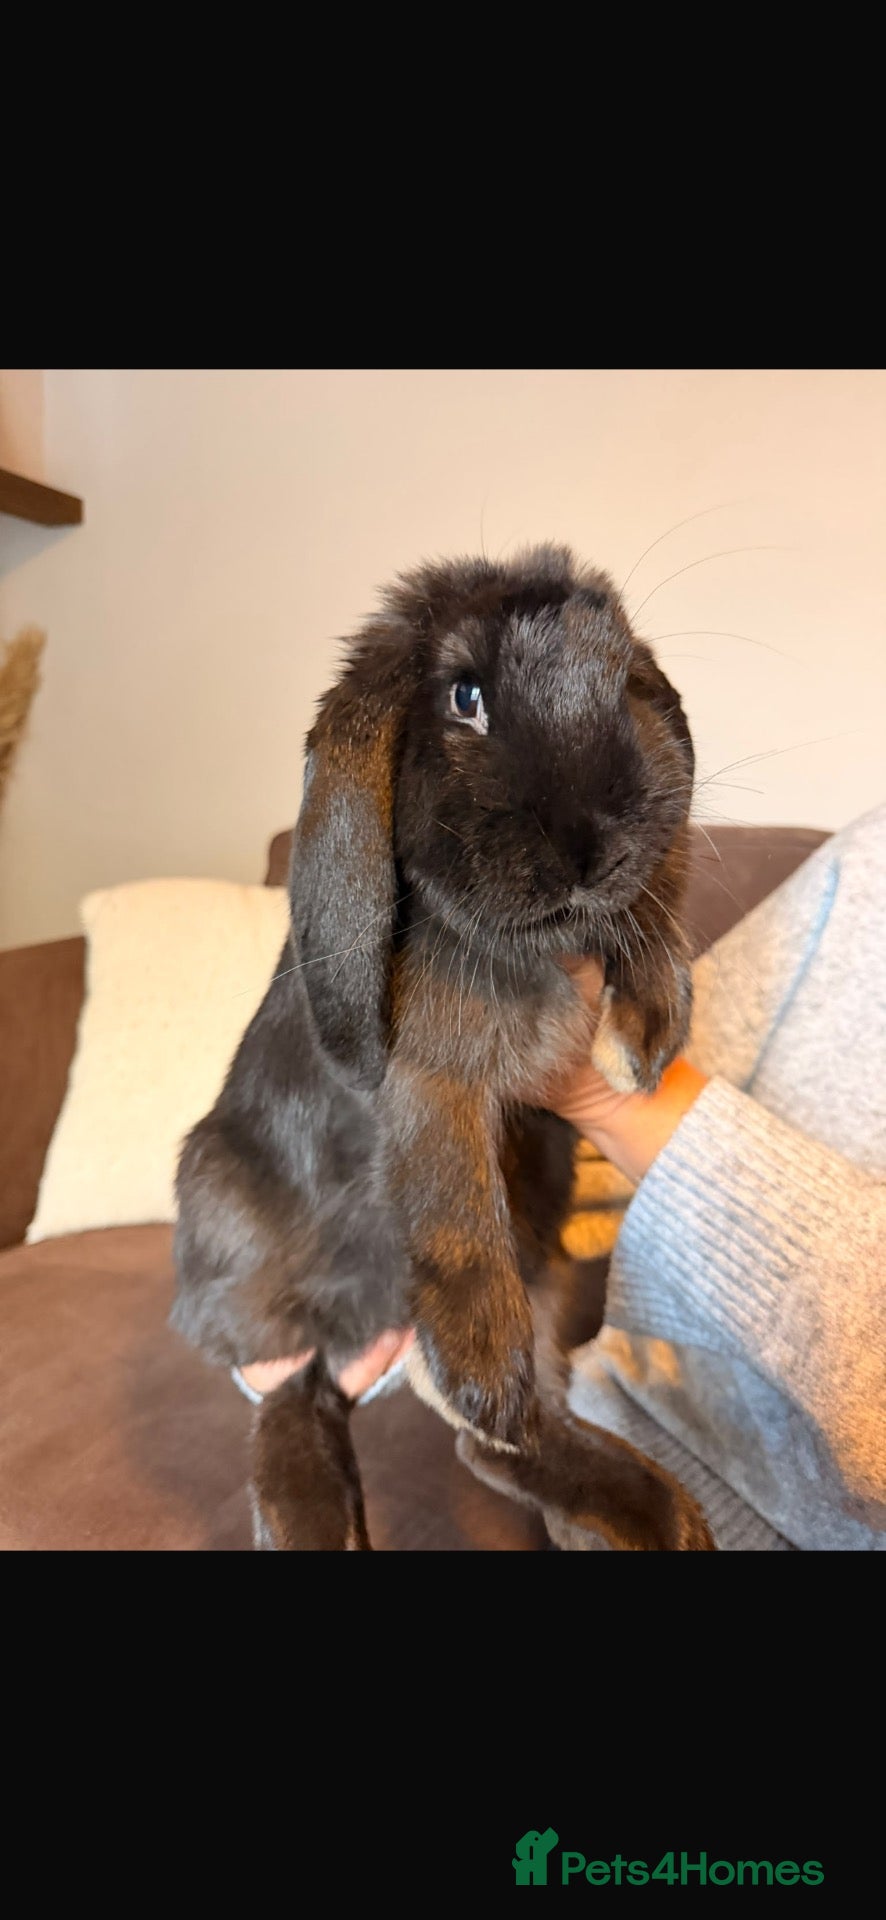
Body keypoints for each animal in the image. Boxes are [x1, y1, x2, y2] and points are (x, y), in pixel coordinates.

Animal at [171, 543, 715, 1551]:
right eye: (465, 696)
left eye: (625, 680)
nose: (591, 846)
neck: (527, 942)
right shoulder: (427, 1088)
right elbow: (454, 1208)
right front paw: (482, 1373)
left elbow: (655, 904)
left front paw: (643, 1042)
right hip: (228, 1218)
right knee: (295, 1383)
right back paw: (313, 1514)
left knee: (489, 1444)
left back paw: (648, 1512)